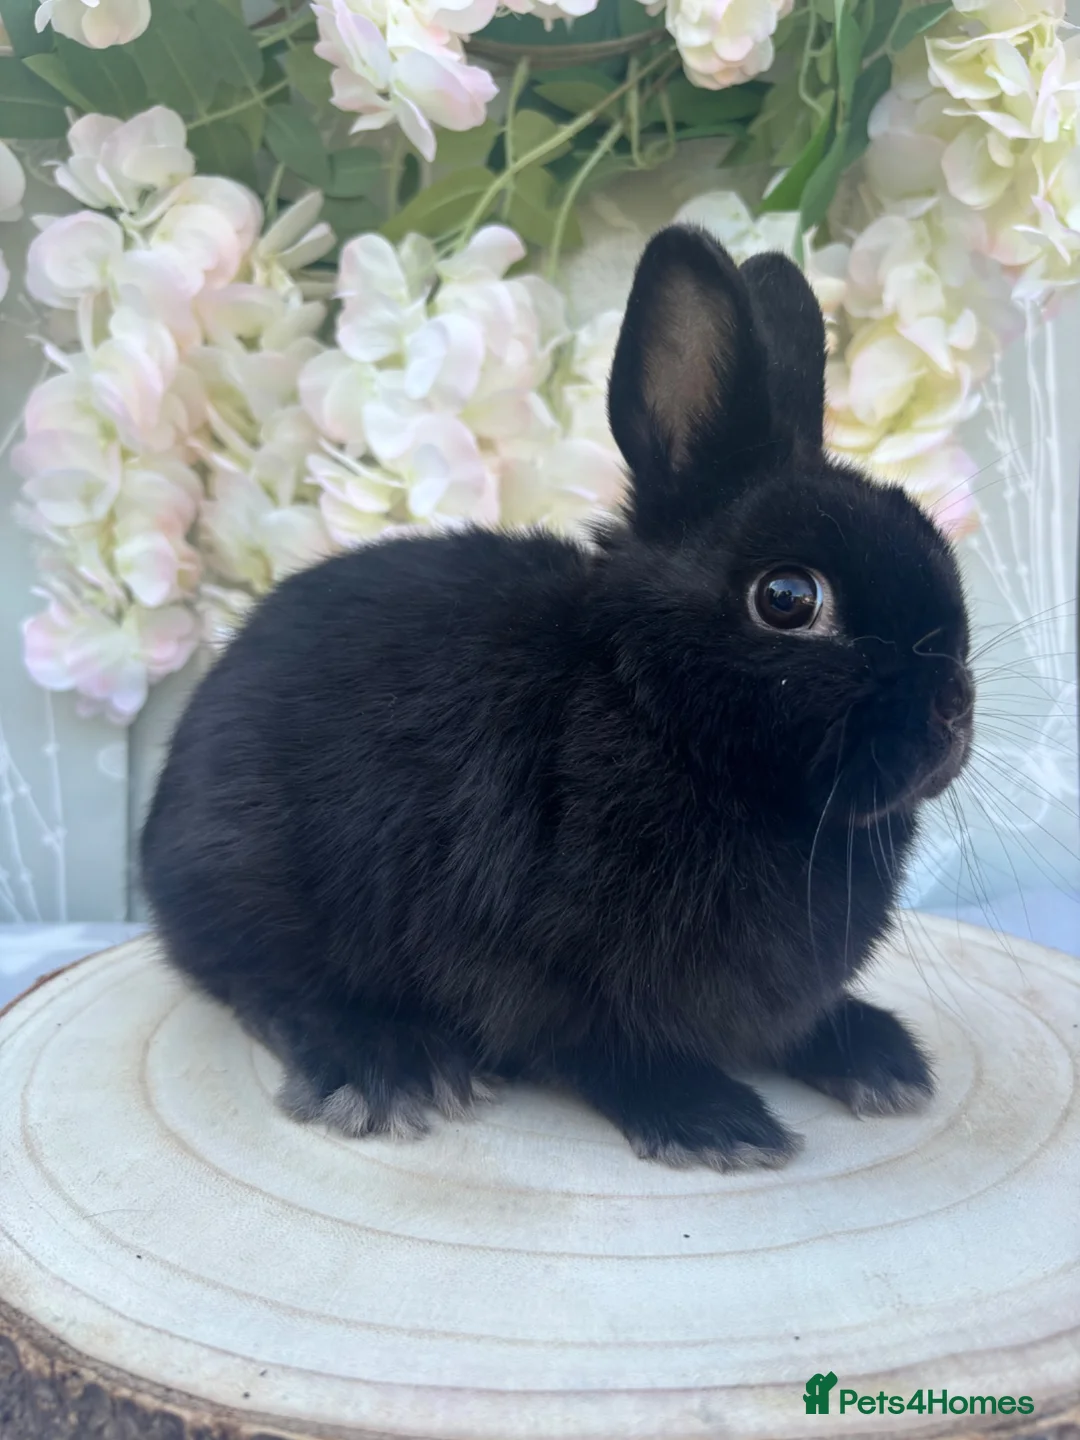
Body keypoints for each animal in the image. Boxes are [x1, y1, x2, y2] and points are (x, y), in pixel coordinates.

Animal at [140, 224, 975, 1172]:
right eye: (789, 599)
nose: (953, 709)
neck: (653, 714)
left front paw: (879, 1058)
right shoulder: (528, 968)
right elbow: (601, 1049)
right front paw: (714, 1120)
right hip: (251, 880)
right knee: (264, 987)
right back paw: (382, 1066)